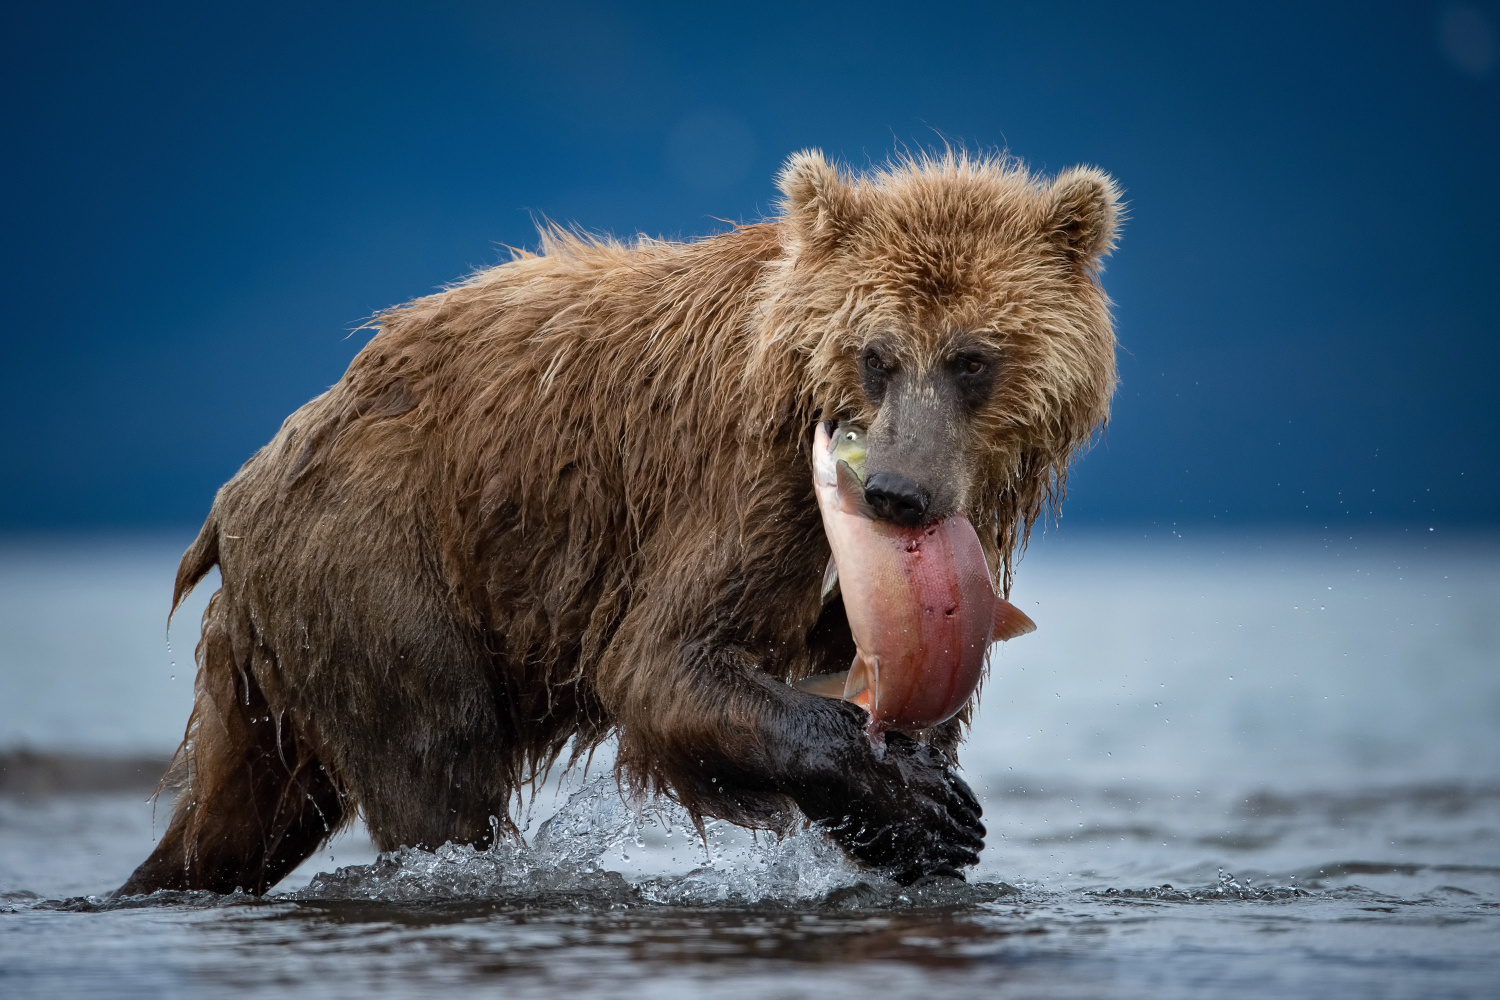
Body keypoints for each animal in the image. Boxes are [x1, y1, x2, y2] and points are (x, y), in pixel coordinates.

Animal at [123, 150, 1122, 899]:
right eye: (877, 354)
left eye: (972, 359)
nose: (896, 494)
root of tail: (243, 487)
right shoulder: (741, 484)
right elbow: (663, 664)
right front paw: (920, 807)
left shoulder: (948, 544)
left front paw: (924, 807)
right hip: (377, 552)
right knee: (435, 756)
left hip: (292, 635)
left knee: (244, 810)